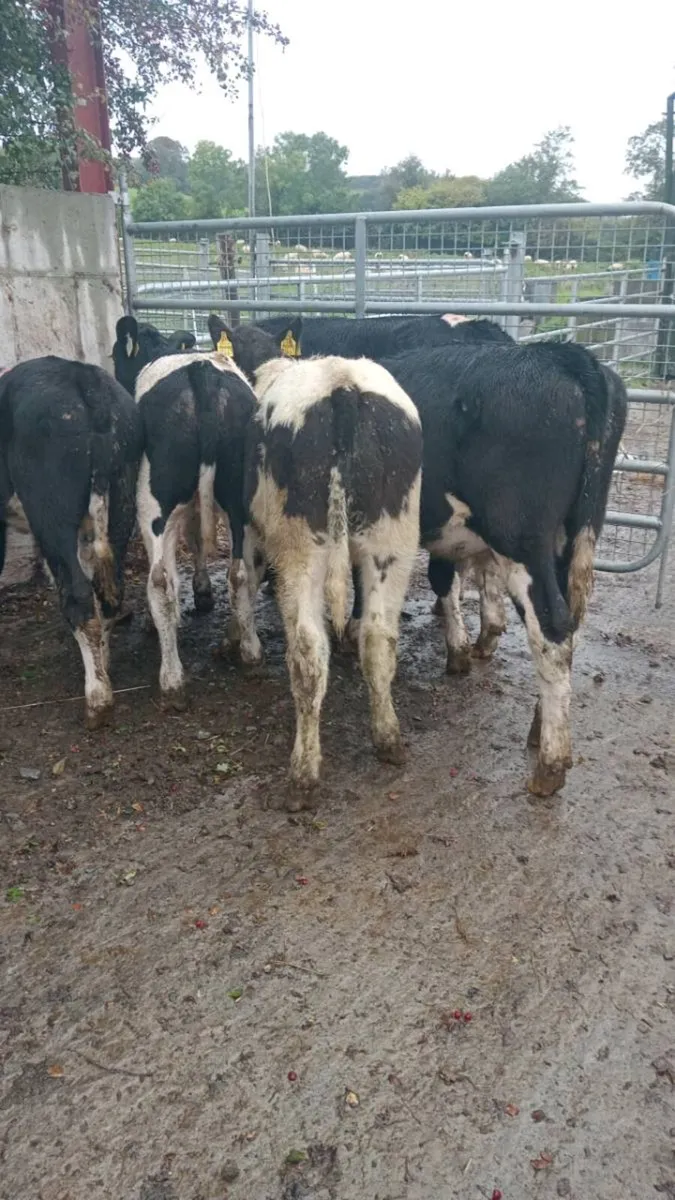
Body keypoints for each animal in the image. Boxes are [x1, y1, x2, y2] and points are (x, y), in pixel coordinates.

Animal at [0, 357, 142, 728]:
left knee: (78, 595)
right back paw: (104, 667)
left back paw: (97, 698)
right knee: (108, 589)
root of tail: (83, 376)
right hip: (121, 499)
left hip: (51, 512)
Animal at [208, 321, 423, 796]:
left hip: (301, 549)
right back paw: (388, 738)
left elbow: (242, 576)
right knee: (379, 639)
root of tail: (341, 386)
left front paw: (239, 644)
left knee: (307, 652)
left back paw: (303, 771)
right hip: (393, 542)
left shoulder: (246, 524)